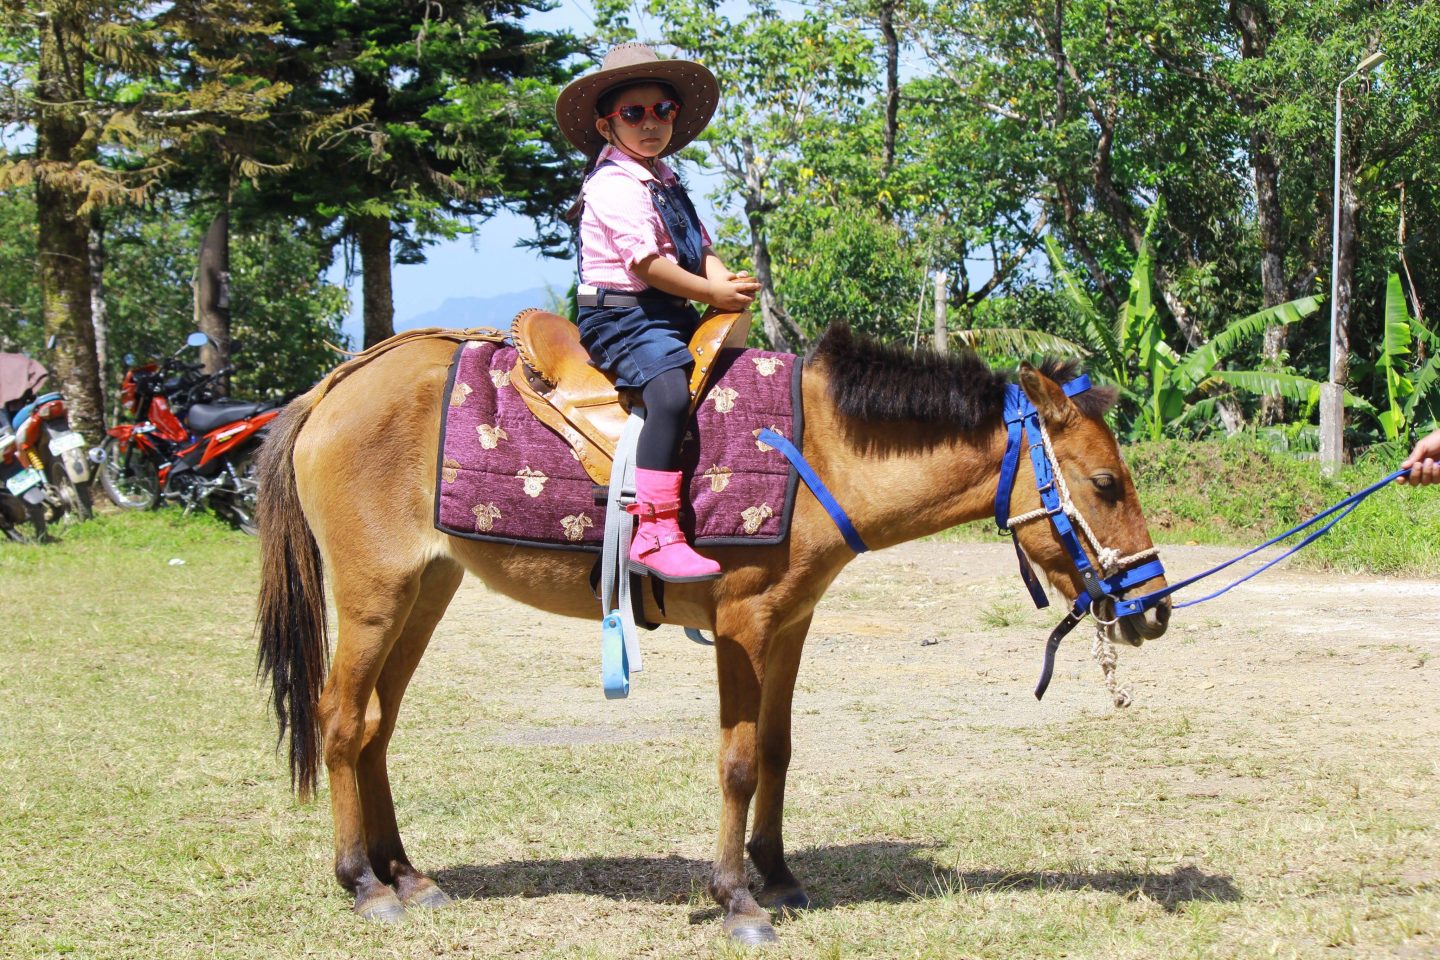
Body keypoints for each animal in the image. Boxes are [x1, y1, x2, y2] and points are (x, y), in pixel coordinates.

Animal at [253, 322, 1163, 944]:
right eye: (1105, 483)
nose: (1153, 606)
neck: (814, 452)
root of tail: (334, 385)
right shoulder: (742, 626)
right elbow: (737, 761)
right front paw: (737, 899)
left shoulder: (791, 624)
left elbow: (778, 750)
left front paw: (780, 873)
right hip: (375, 596)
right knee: (340, 721)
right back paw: (363, 883)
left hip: (426, 592)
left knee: (375, 728)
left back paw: (408, 876)